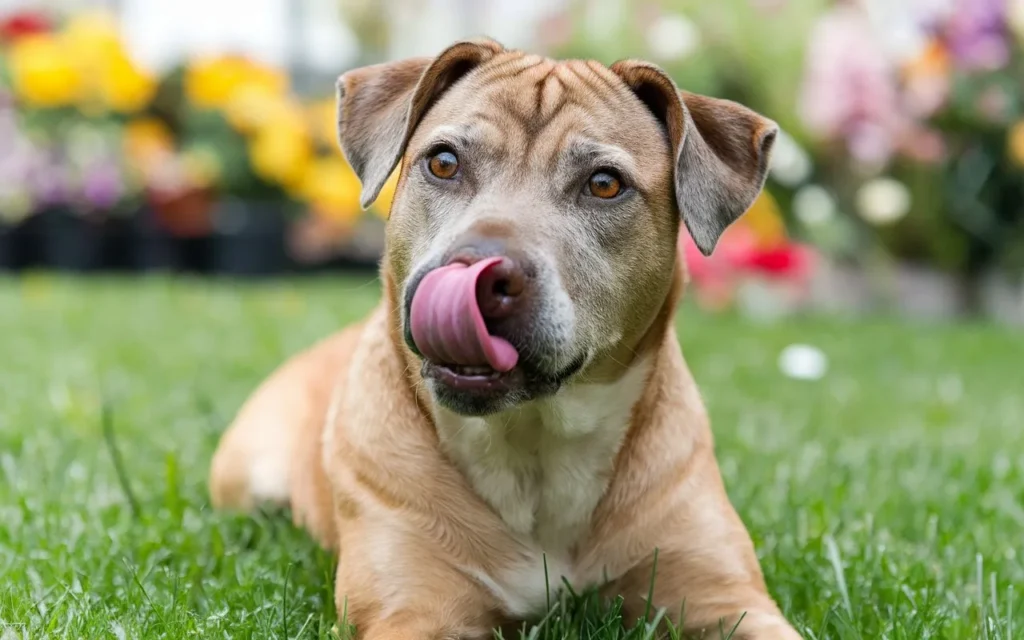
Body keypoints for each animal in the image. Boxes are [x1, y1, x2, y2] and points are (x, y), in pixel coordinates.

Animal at [207, 39, 798, 638]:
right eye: (444, 163)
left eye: (604, 183)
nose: (479, 272)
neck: (533, 448)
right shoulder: (412, 609)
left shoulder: (726, 599)